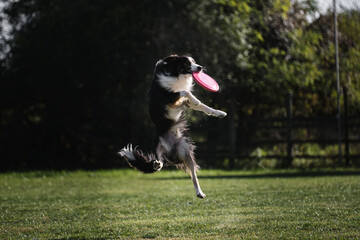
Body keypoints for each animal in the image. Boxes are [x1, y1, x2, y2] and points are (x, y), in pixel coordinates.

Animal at [119, 54, 226, 199]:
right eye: (187, 63)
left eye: (194, 61)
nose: (200, 67)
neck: (176, 75)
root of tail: (170, 149)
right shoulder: (167, 96)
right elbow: (185, 92)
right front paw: (196, 99)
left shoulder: (182, 102)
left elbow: (203, 106)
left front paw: (218, 112)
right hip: (158, 145)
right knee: (159, 161)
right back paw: (156, 164)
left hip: (185, 151)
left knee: (193, 175)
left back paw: (200, 192)